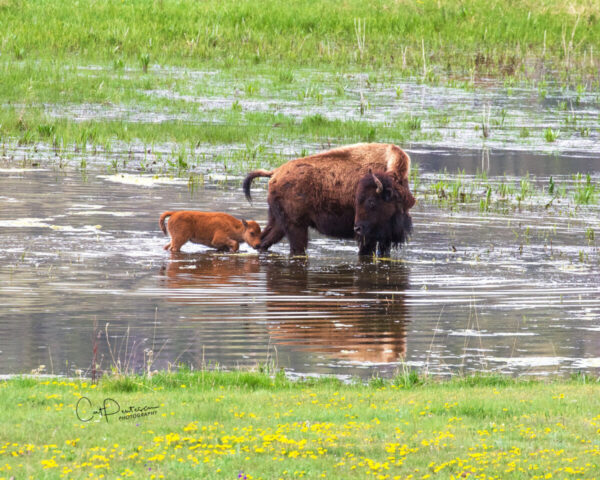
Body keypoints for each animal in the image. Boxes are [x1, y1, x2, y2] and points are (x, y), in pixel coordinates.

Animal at [241, 142, 414, 256]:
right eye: (369, 201)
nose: (357, 228)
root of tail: (275, 172)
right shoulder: (368, 238)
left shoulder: (385, 240)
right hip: (296, 227)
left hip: (278, 222)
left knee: (263, 241)